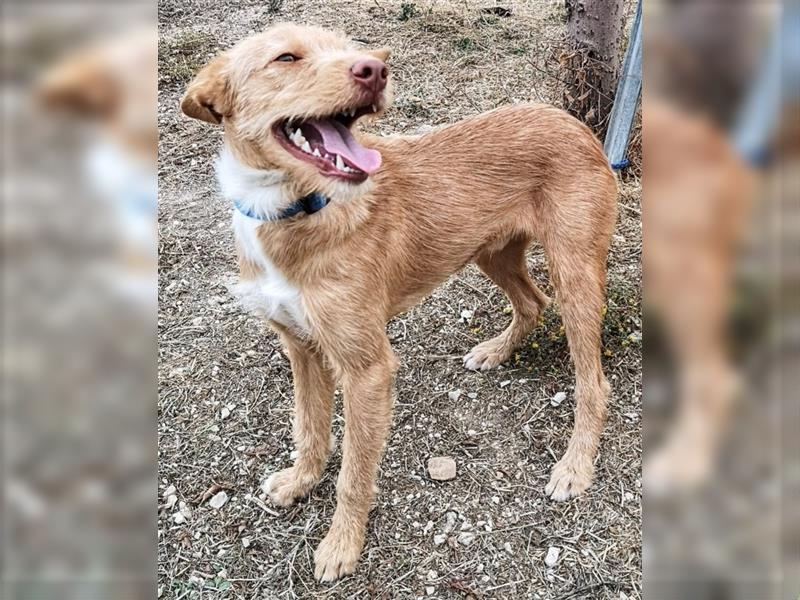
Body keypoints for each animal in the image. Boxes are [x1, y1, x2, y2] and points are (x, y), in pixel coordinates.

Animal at [181, 23, 620, 580]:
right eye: (286, 58)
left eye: (349, 48)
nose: (375, 69)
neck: (294, 207)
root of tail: (576, 124)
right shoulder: (302, 348)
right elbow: (309, 428)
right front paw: (301, 480)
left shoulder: (367, 369)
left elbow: (352, 472)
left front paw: (341, 544)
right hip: (491, 252)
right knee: (531, 302)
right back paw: (495, 351)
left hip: (574, 274)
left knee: (593, 382)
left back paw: (575, 466)